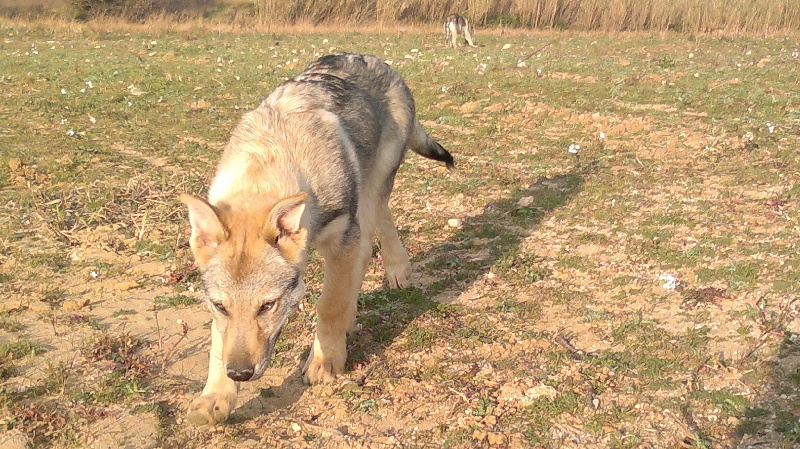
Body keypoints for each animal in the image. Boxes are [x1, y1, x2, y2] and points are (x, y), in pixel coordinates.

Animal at [180, 53, 453, 425]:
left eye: (267, 306)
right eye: (221, 306)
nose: (239, 373)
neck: (268, 161)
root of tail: (379, 62)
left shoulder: (342, 235)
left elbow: (330, 304)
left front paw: (325, 362)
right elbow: (218, 341)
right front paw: (216, 396)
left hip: (371, 192)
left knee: (373, 233)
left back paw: (397, 270)